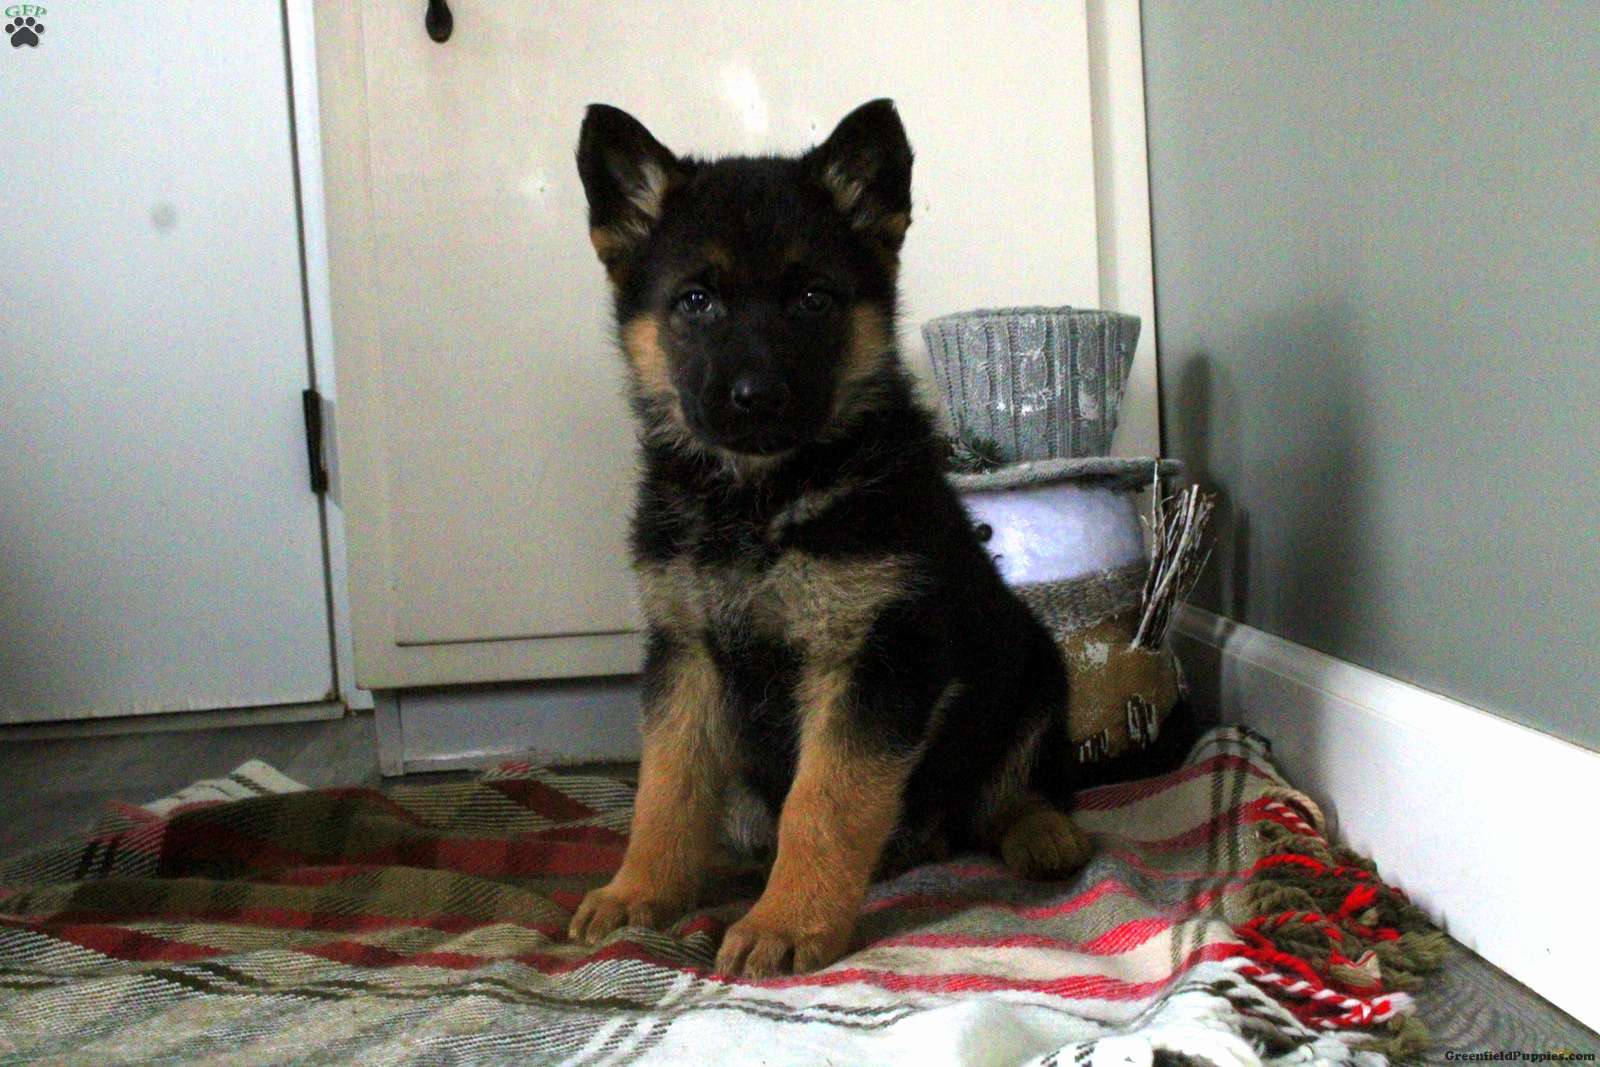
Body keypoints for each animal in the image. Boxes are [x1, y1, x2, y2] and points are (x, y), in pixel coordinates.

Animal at [567, 100, 1091, 978]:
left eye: (812, 298)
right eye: (695, 301)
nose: (757, 396)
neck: (760, 498)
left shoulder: (874, 657)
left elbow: (826, 801)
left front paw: (785, 922)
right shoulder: (685, 652)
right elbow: (667, 786)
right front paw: (639, 890)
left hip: (1034, 664)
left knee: (1010, 789)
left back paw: (1041, 831)